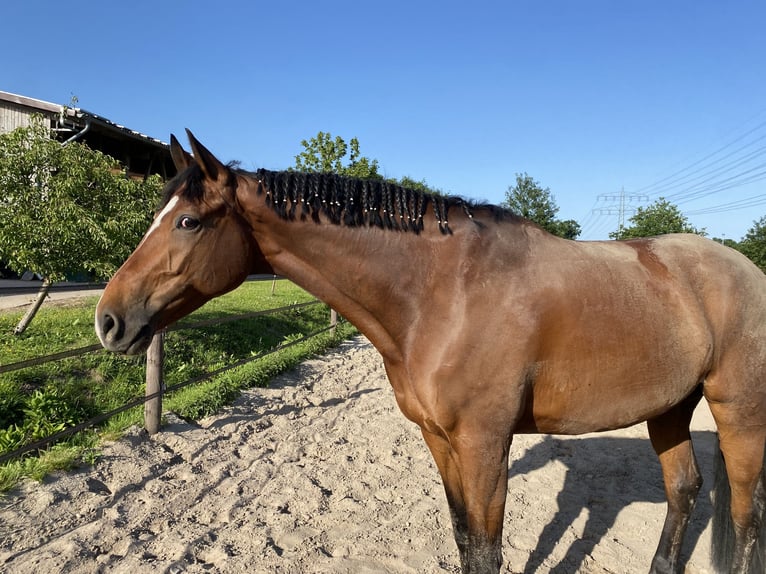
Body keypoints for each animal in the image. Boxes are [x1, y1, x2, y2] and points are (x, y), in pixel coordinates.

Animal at [96, 133, 766, 572]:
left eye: (187, 222)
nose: (109, 321)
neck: (442, 294)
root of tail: (743, 266)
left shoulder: (485, 443)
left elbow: (488, 550)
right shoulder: (440, 440)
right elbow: (464, 538)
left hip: (738, 412)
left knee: (743, 513)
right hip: (670, 406)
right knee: (685, 490)